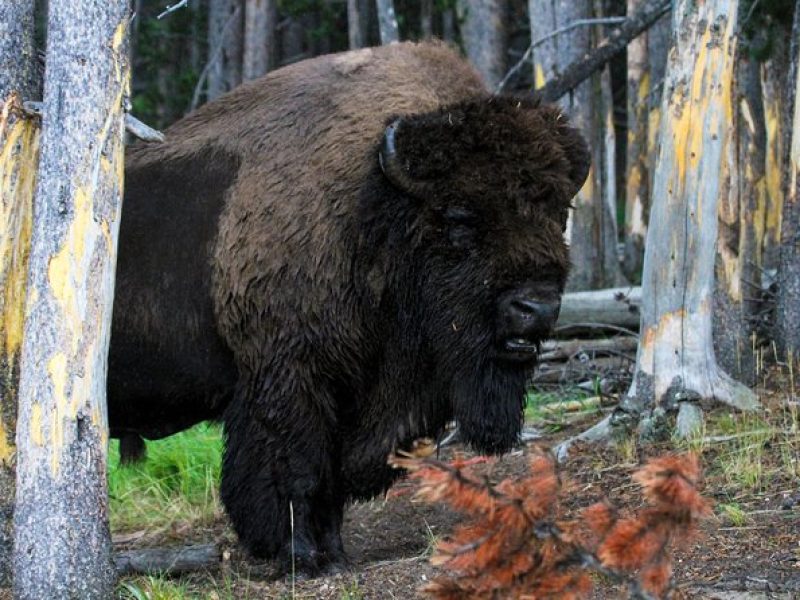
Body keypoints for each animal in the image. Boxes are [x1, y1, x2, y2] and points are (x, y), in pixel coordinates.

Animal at [108, 39, 588, 576]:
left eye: (559, 214)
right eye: (460, 218)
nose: (536, 308)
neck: (371, 210)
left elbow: (333, 480)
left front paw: (336, 555)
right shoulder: (288, 382)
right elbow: (296, 472)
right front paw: (301, 558)